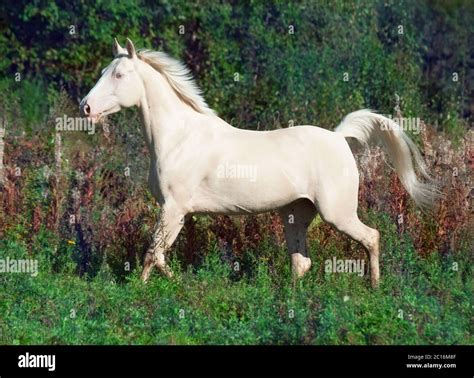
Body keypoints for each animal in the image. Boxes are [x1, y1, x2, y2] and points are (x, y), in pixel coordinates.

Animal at [80, 39, 436, 286]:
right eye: (103, 73)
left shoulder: (173, 208)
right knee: (301, 262)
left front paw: (144, 293)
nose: (86, 107)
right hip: (296, 214)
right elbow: (159, 255)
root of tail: (339, 138)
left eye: (119, 75)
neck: (180, 138)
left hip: (337, 213)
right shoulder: (176, 212)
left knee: (371, 237)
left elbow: (152, 255)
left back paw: (374, 289)